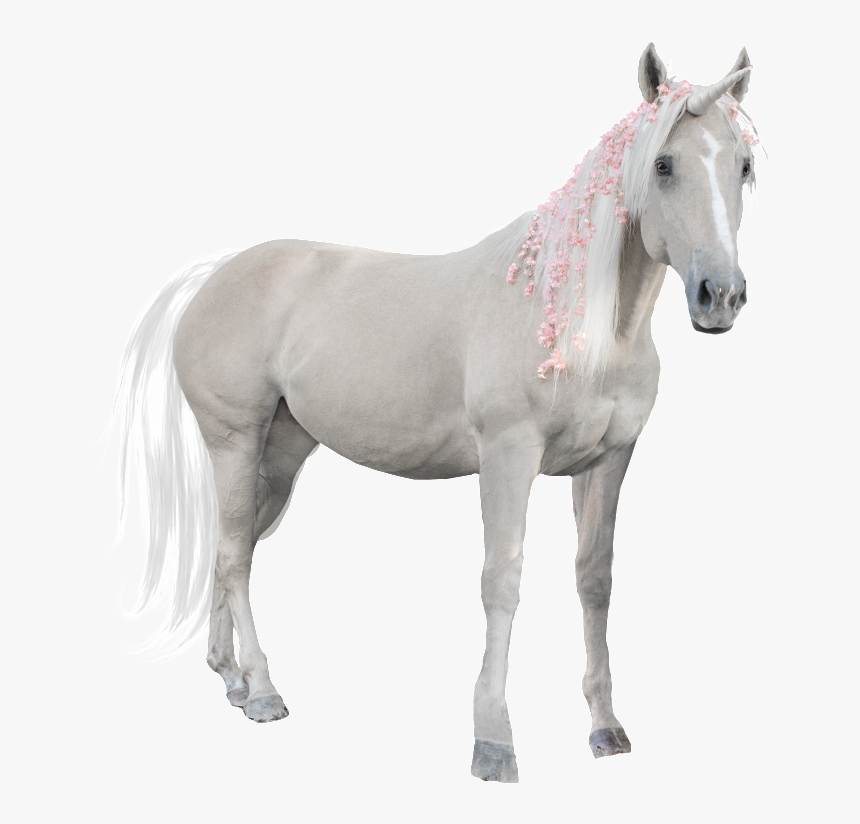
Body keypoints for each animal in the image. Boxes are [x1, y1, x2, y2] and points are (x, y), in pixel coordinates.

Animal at [117, 43, 758, 783]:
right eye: (663, 164)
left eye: (744, 164)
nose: (720, 296)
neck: (577, 322)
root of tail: (212, 276)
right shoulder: (508, 457)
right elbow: (502, 582)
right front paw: (493, 743)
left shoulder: (608, 462)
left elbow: (595, 580)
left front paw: (605, 728)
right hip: (234, 441)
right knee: (232, 556)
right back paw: (264, 692)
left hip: (278, 454)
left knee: (235, 546)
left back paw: (231, 678)